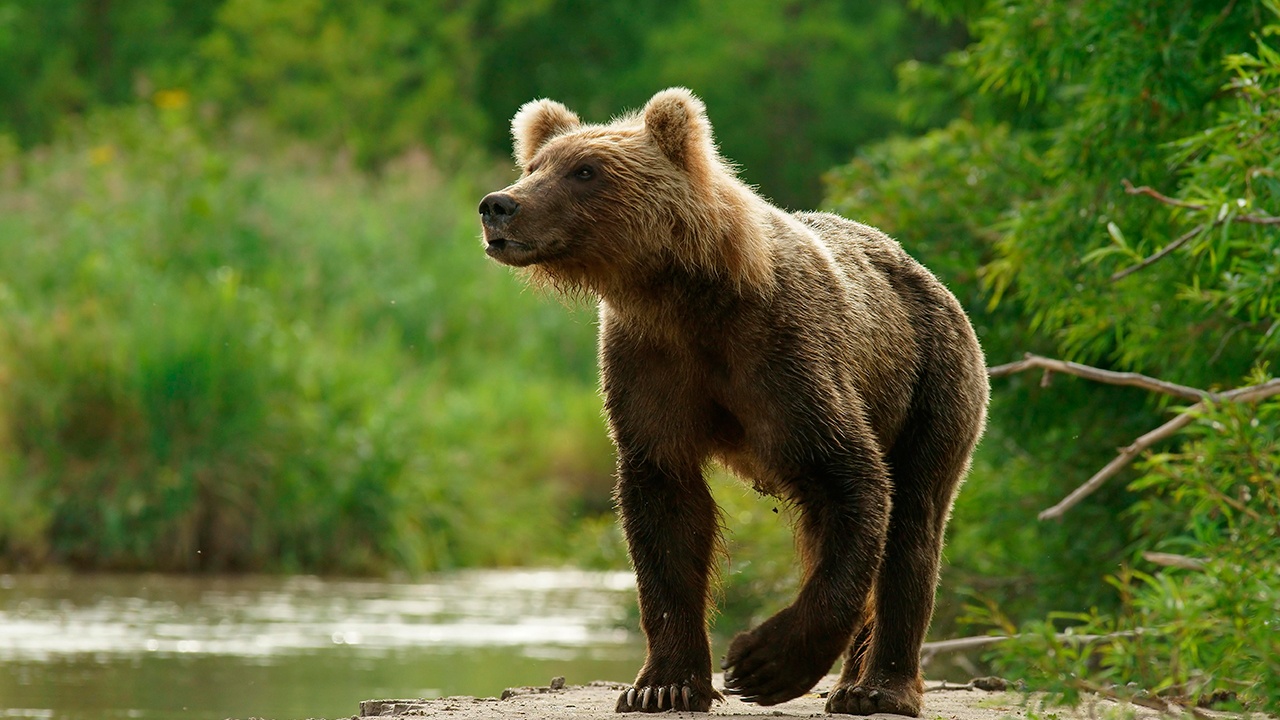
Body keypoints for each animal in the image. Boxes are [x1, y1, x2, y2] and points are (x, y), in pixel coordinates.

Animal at [478, 87, 988, 716]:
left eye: (585, 171)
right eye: (534, 166)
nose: (498, 205)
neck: (683, 296)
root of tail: (931, 279)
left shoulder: (785, 359)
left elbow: (853, 479)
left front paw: (763, 662)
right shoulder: (649, 368)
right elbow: (666, 514)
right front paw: (664, 684)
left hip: (933, 386)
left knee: (913, 522)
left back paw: (878, 688)